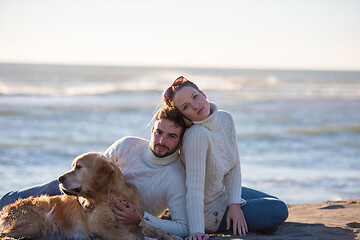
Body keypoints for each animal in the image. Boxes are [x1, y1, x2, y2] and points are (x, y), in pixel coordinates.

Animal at [0, 153, 176, 239]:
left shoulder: (130, 224)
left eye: (78, 167)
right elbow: (131, 237)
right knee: (4, 234)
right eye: (73, 166)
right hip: (35, 223)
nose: (59, 178)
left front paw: (170, 237)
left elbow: (156, 229)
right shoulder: (101, 227)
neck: (111, 196)